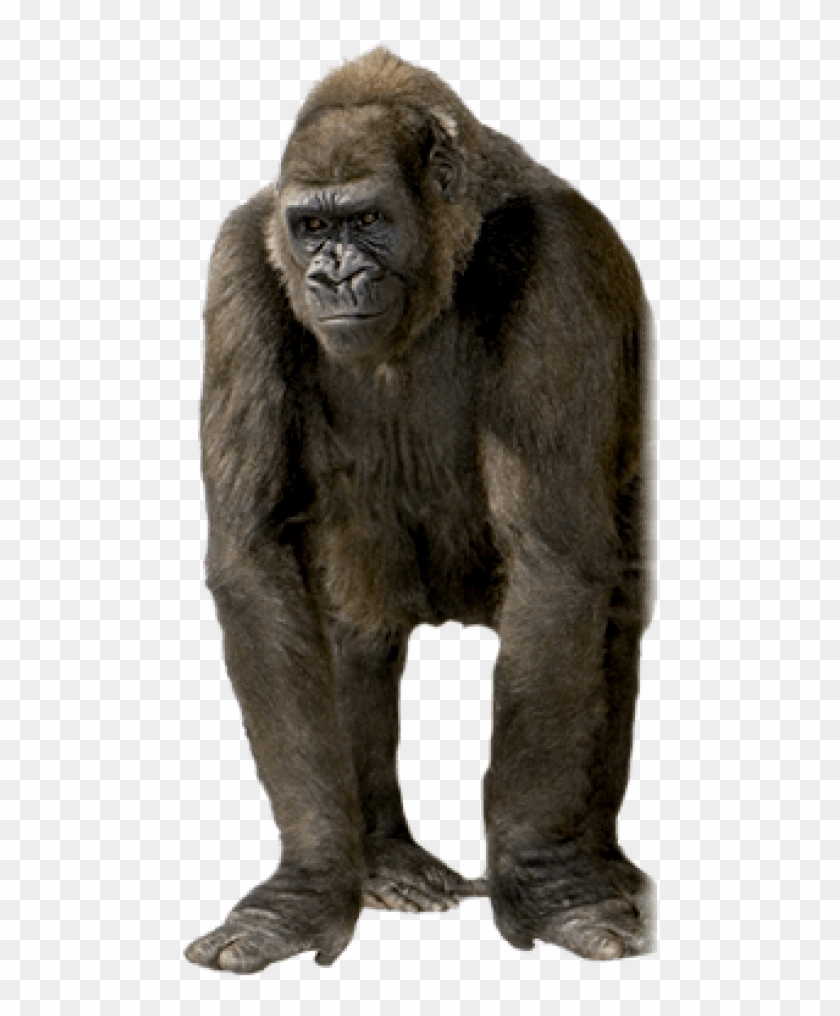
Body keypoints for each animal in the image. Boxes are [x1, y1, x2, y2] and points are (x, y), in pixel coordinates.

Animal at [185, 48, 654, 974]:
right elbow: (254, 563)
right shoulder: (240, 260)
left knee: (611, 613)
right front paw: (308, 884)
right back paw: (381, 861)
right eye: (311, 229)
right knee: (350, 629)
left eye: (366, 220)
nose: (333, 275)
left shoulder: (562, 256)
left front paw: (543, 879)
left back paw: (597, 862)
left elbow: (553, 565)